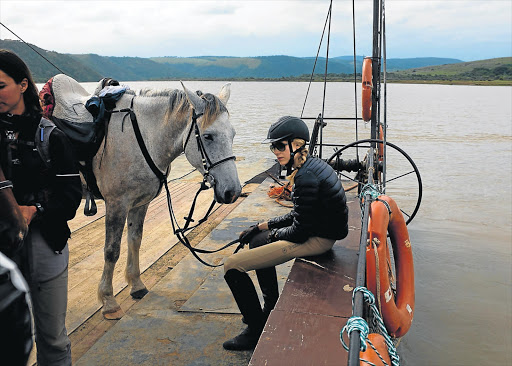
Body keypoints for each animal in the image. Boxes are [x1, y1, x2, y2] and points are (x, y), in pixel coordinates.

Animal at [51, 76, 241, 318]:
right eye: (208, 136)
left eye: (232, 134)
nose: (233, 191)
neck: (141, 136)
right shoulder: (117, 204)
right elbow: (112, 250)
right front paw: (108, 300)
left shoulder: (139, 203)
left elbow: (135, 240)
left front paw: (136, 285)